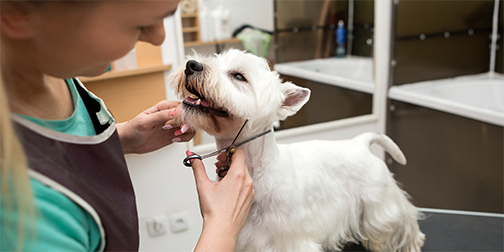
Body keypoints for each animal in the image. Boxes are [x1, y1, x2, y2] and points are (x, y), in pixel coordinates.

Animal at [170, 49, 426, 252]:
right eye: (215, 59)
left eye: (239, 76)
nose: (191, 65)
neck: (258, 169)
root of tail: (360, 142)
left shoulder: (290, 238)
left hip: (380, 203)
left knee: (404, 219)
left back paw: (412, 243)